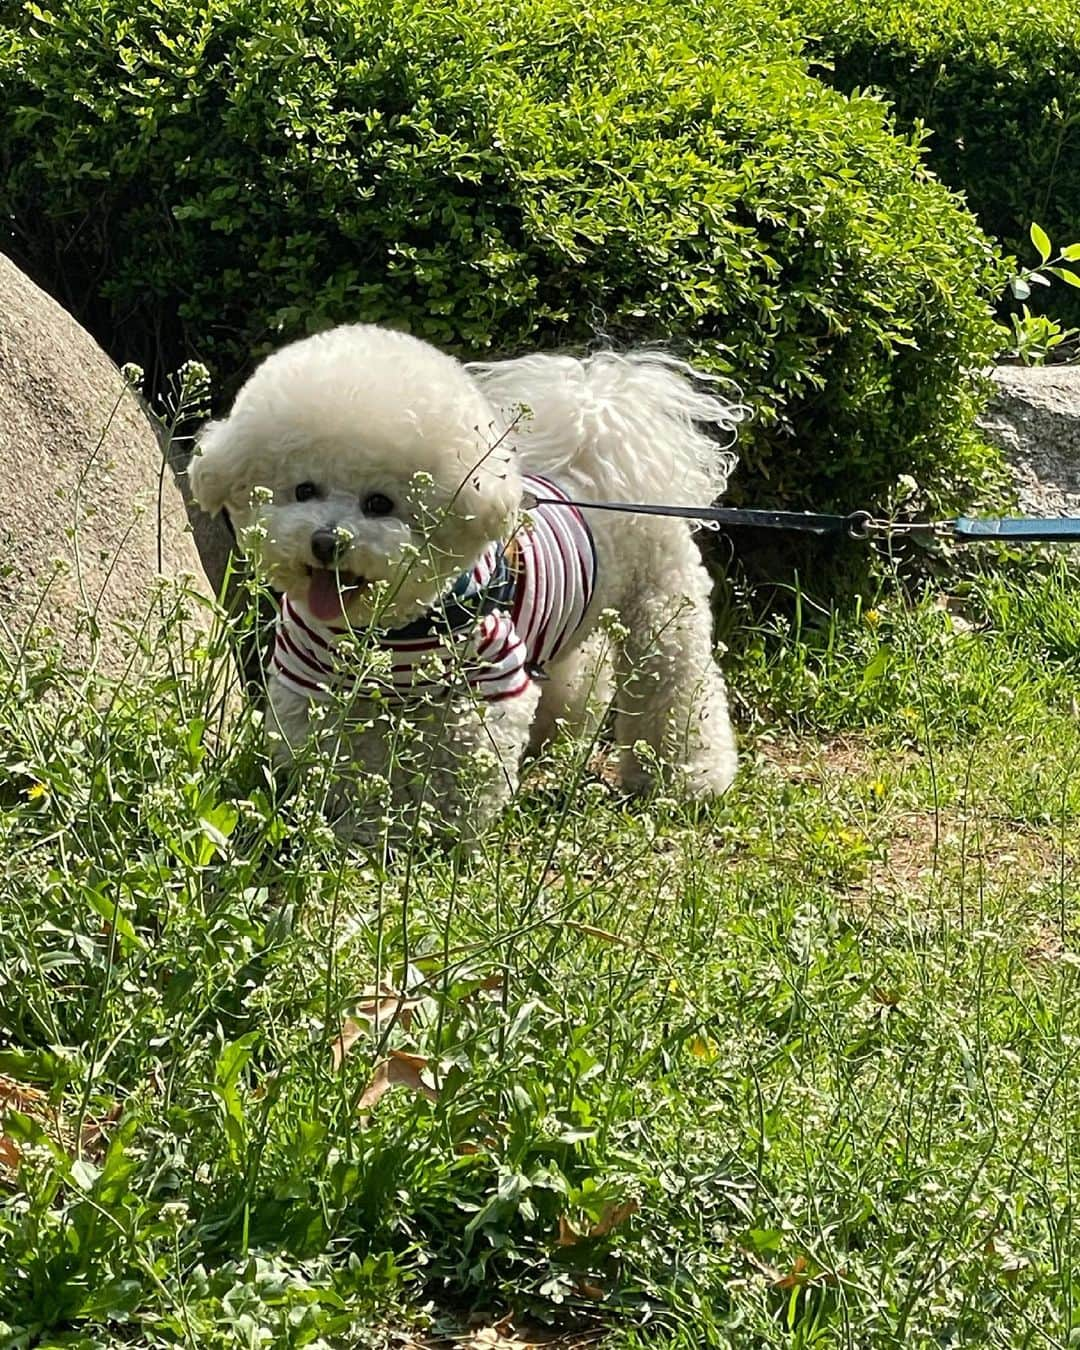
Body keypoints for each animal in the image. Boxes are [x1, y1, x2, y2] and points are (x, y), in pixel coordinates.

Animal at [190, 321, 745, 837]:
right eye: (303, 490)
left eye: (379, 503)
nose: (328, 541)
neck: (391, 629)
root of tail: (601, 433)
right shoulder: (312, 672)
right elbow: (341, 760)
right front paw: (352, 829)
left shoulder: (488, 678)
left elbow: (460, 773)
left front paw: (441, 836)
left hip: (662, 618)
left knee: (677, 691)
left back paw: (687, 782)